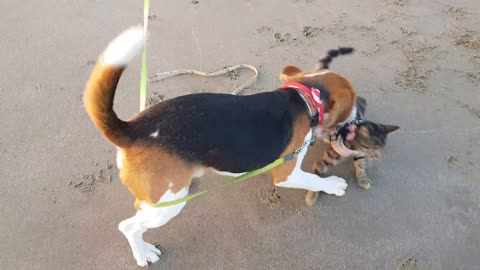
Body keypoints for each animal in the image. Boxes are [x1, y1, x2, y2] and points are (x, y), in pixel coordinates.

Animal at [83, 26, 356, 266]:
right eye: (354, 102)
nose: (357, 117)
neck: (304, 97)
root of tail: (132, 128)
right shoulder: (287, 173)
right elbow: (313, 179)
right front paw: (333, 185)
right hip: (166, 204)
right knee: (129, 227)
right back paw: (143, 254)